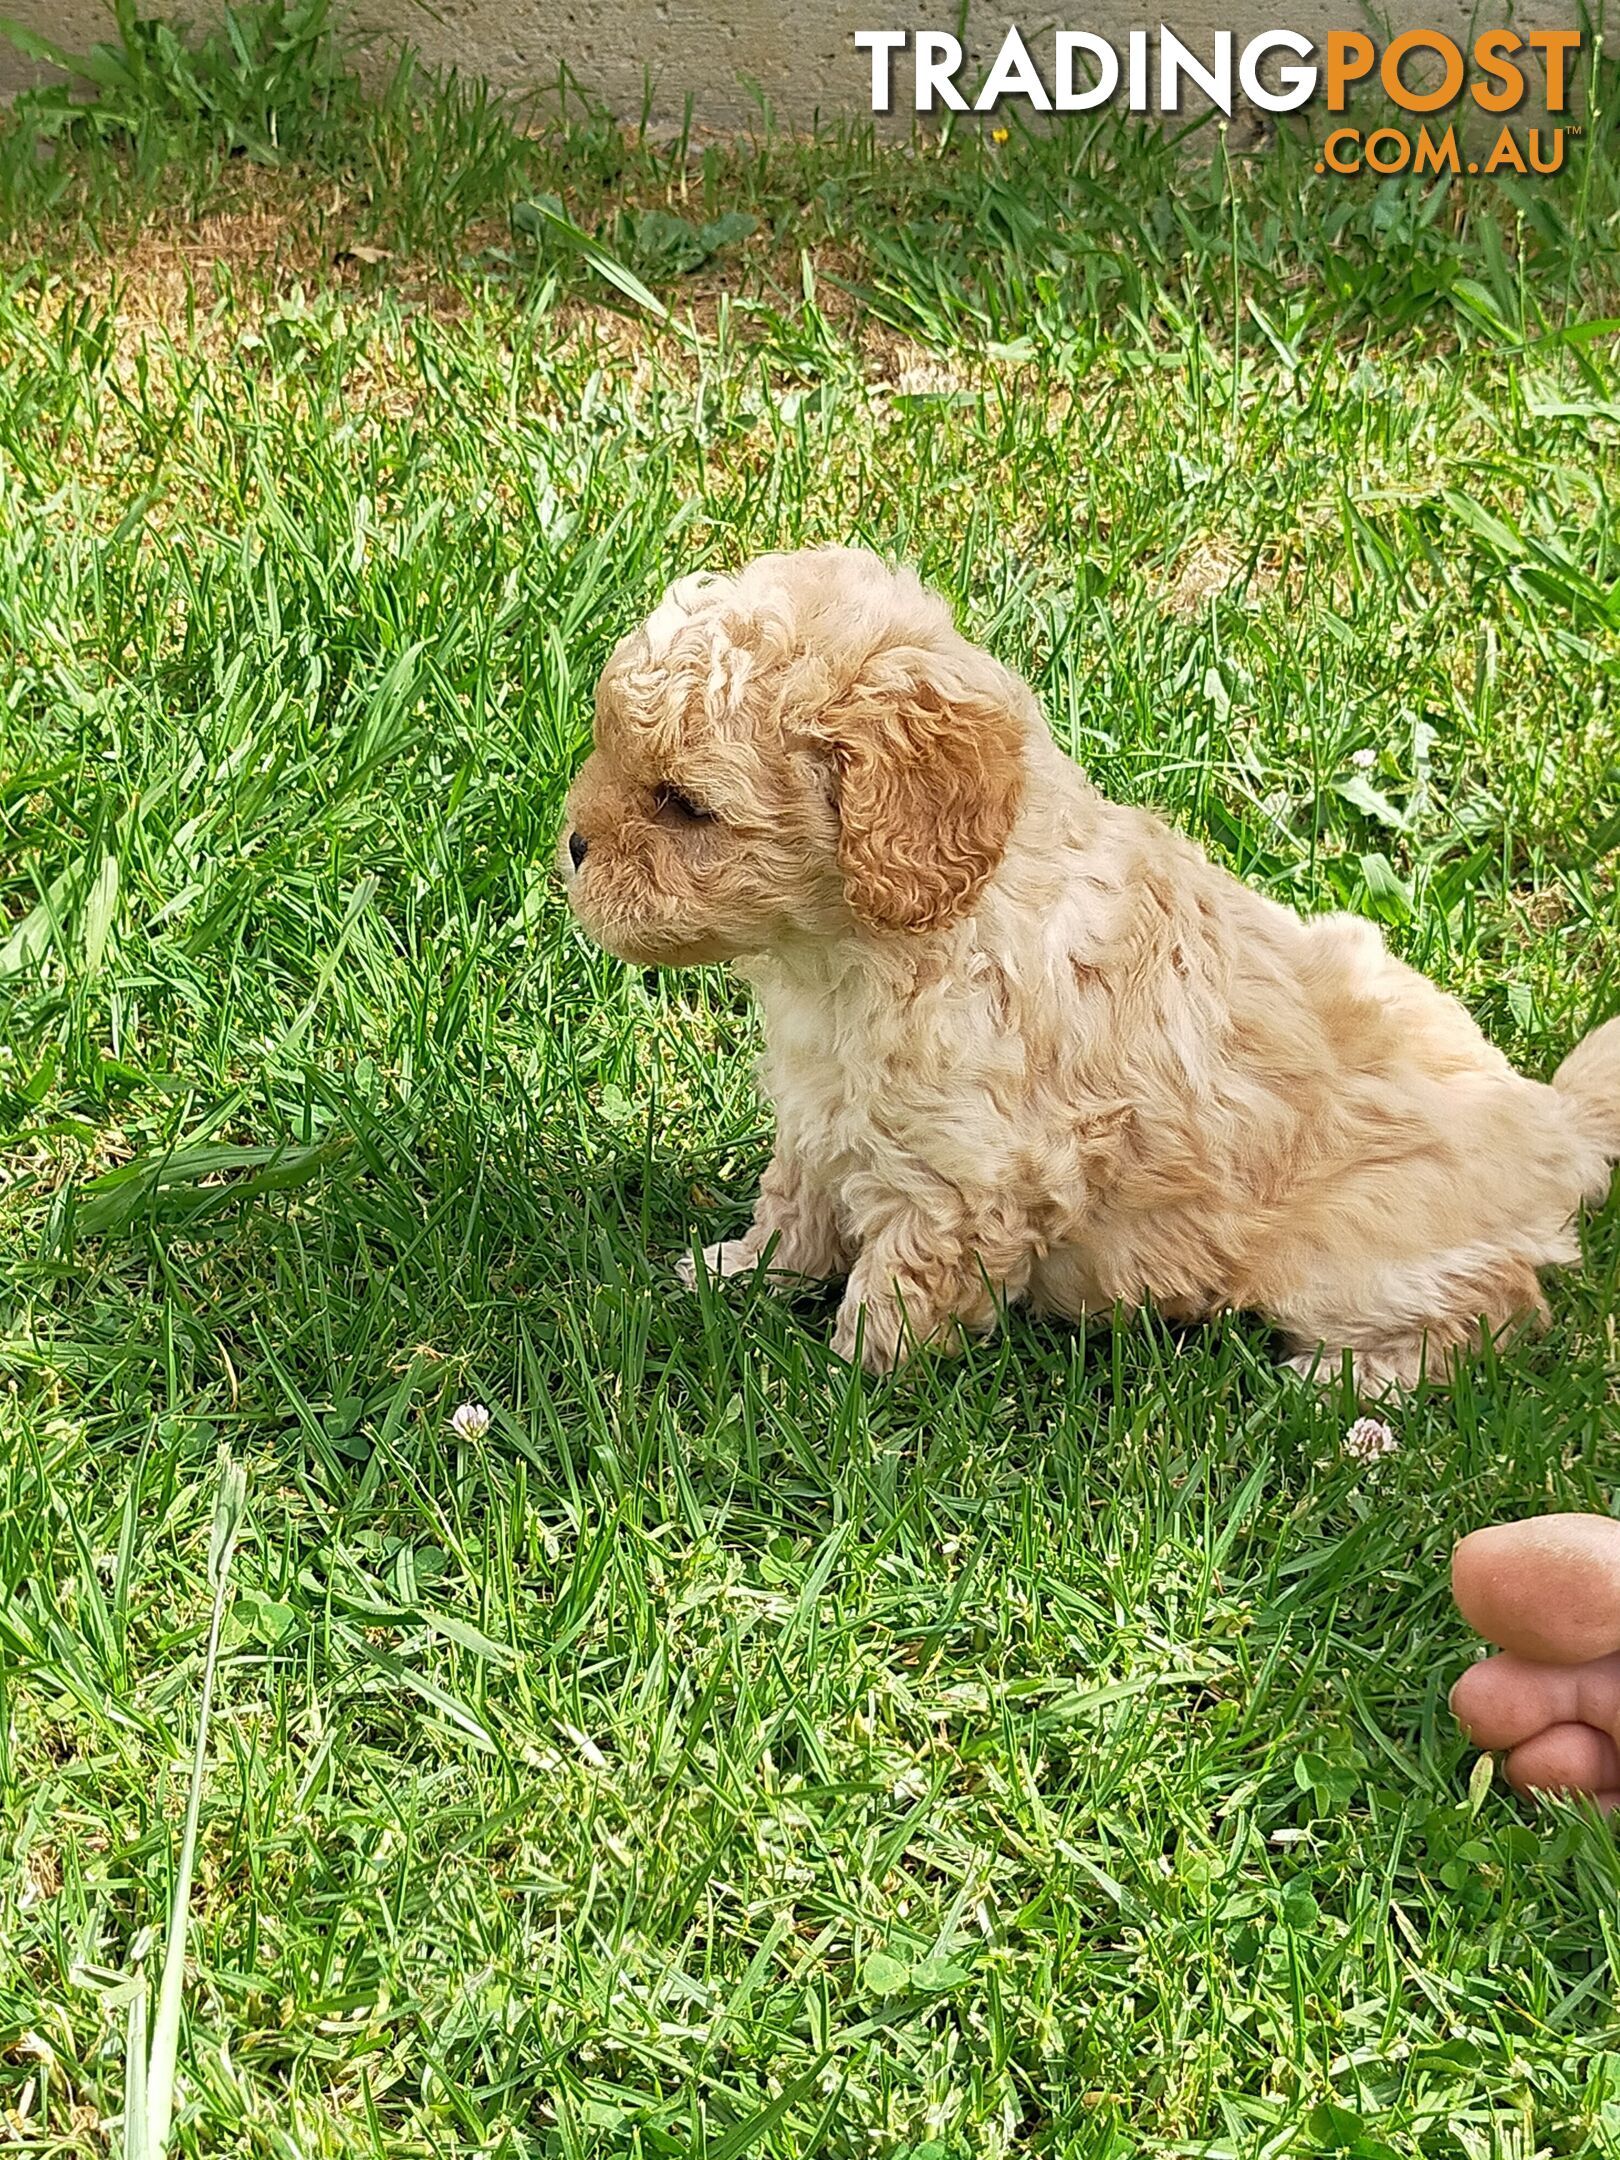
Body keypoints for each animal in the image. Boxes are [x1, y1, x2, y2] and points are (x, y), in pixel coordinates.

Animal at [561, 544, 1620, 1382]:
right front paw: (738, 1274)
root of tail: (1556, 1122)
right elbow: (796, 1204)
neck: (857, 952)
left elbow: (902, 1286)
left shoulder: (967, 1177)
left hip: (1353, 1253)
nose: (571, 845)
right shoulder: (825, 1114)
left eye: (685, 806)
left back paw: (1351, 1392)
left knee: (1498, 1304)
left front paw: (844, 1388)